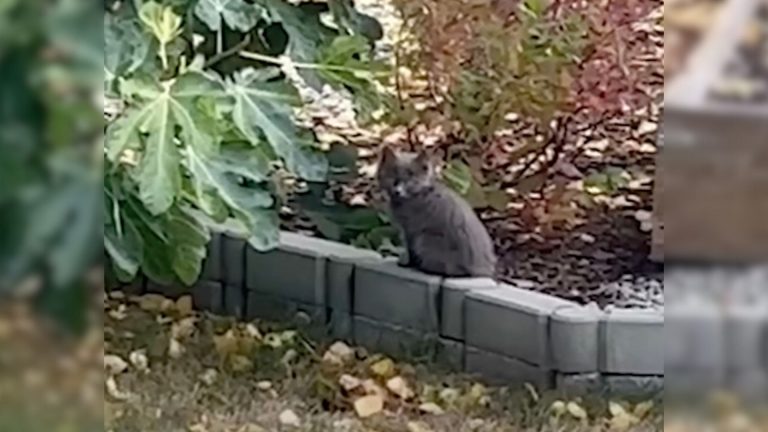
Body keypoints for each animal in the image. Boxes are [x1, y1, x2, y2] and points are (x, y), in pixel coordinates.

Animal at [378, 148, 498, 276]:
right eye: (393, 172)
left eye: (411, 176)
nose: (397, 190)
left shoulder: (410, 229)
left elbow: (410, 249)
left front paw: (407, 263)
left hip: (425, 238)